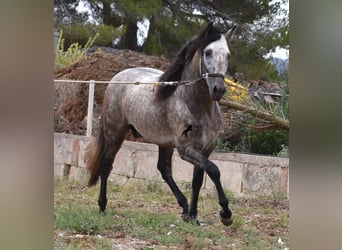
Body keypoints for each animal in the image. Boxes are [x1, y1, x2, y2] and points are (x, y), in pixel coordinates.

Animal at [84, 22, 236, 227]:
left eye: (228, 55)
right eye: (208, 52)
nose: (218, 89)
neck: (198, 105)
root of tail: (116, 78)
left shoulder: (205, 149)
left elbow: (198, 180)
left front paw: (194, 216)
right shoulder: (185, 149)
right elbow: (214, 170)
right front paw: (225, 214)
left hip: (163, 142)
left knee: (163, 169)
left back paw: (184, 208)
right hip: (115, 133)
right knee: (106, 165)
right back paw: (102, 206)